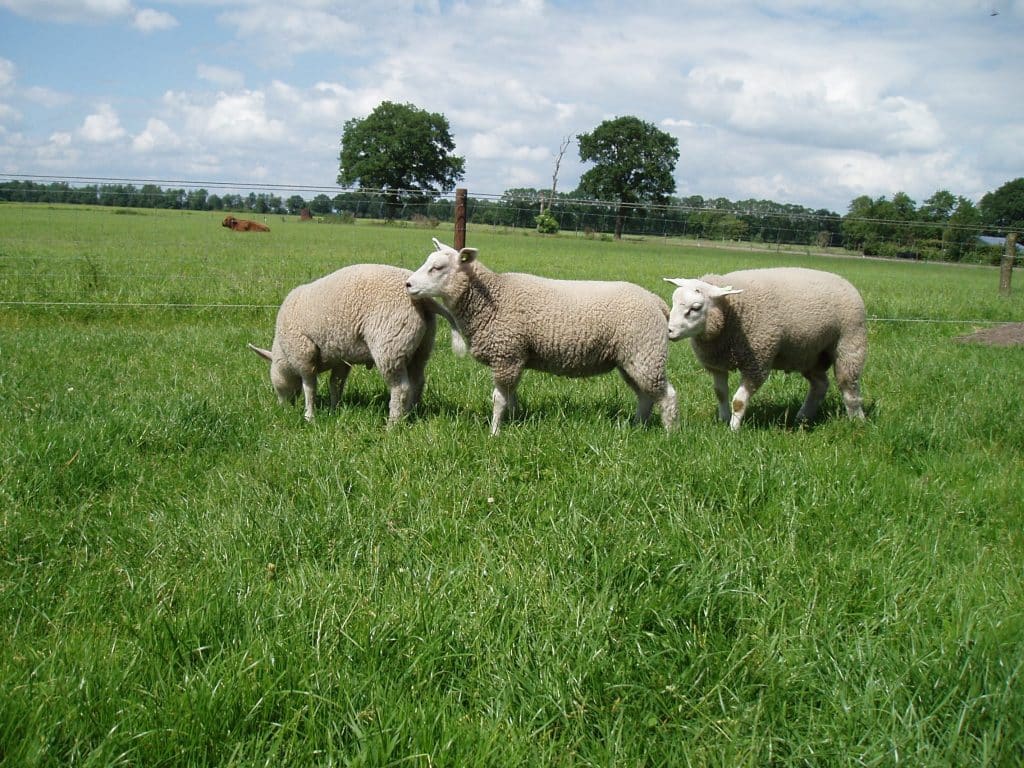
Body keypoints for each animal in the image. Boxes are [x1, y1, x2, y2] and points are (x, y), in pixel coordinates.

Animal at [245, 264, 462, 428]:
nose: (282, 409)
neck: (284, 353)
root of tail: (425, 300)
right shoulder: (341, 359)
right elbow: (336, 384)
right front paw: (334, 409)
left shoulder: (304, 354)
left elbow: (310, 388)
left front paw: (309, 416)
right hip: (420, 348)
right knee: (418, 382)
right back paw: (410, 415)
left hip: (390, 344)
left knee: (401, 389)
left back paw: (392, 425)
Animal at [401, 237, 679, 436]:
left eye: (438, 268)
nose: (408, 285)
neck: (493, 298)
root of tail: (656, 301)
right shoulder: (515, 358)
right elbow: (511, 398)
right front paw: (514, 421)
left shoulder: (507, 355)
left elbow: (498, 400)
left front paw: (494, 433)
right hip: (632, 359)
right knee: (645, 396)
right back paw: (637, 428)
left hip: (646, 353)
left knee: (667, 396)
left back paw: (669, 435)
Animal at [659, 268, 868, 430]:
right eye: (674, 301)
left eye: (695, 308)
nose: (669, 331)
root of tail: (845, 282)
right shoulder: (717, 363)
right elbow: (720, 393)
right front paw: (724, 419)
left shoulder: (757, 362)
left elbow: (738, 402)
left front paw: (733, 429)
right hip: (809, 354)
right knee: (820, 385)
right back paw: (803, 417)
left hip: (850, 342)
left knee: (848, 385)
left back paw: (857, 420)